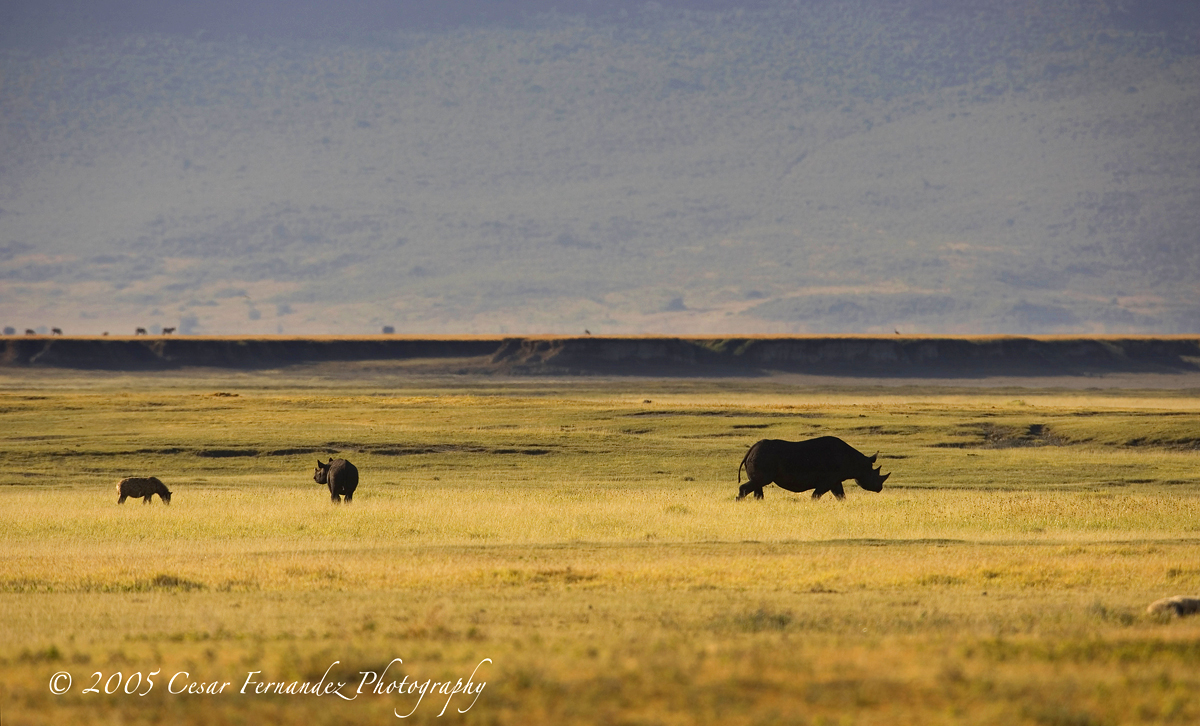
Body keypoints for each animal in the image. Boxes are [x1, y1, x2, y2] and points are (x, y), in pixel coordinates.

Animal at [734, 432, 888, 501]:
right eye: (873, 475)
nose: (879, 488)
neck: (858, 463)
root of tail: (750, 450)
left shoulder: (835, 480)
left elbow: (840, 495)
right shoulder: (827, 480)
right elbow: (816, 495)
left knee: (758, 484)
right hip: (764, 458)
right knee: (760, 482)